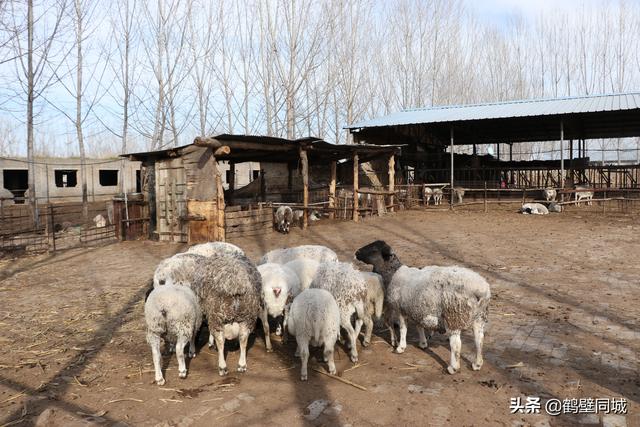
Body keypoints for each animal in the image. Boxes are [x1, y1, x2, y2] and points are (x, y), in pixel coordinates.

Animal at [356, 242, 490, 376]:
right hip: (479, 317)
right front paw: (423, 343)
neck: (392, 274)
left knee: (456, 344)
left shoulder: (401, 309)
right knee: (479, 339)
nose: (356, 252)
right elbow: (419, 326)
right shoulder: (416, 307)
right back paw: (477, 364)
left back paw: (453, 368)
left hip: (453, 315)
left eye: (374, 249)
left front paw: (401, 347)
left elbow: (403, 328)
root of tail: (480, 289)